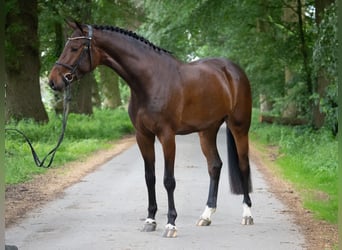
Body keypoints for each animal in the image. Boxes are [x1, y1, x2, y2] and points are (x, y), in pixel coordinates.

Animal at [48, 21, 252, 236]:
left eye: (74, 48)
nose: (53, 81)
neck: (150, 81)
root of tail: (232, 70)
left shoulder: (167, 136)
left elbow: (168, 180)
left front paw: (171, 224)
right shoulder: (143, 136)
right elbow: (150, 177)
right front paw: (150, 220)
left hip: (239, 127)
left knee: (243, 165)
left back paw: (247, 214)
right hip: (207, 131)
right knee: (214, 166)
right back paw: (206, 216)